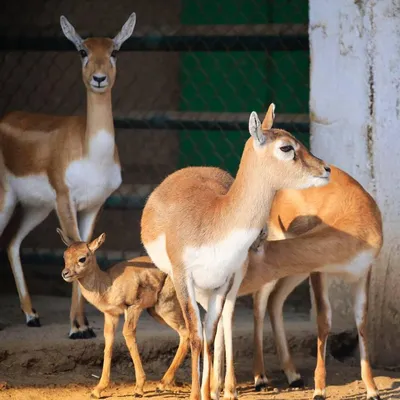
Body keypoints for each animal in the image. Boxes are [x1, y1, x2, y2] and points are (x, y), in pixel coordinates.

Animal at [0, 12, 136, 338]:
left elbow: (84, 246)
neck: (91, 153)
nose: (99, 78)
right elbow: (71, 244)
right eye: (82, 50)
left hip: (36, 208)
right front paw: (76, 328)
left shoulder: (93, 205)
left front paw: (83, 325)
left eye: (114, 50)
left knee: (12, 242)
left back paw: (32, 315)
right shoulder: (65, 200)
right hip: (7, 199)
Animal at [57, 230, 191, 398]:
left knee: (187, 332)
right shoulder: (111, 314)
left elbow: (128, 335)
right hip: (157, 312)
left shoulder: (133, 307)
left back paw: (162, 384)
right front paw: (98, 389)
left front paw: (139, 388)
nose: (65, 273)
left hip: (166, 308)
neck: (108, 285)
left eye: (82, 258)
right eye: (65, 255)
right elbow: (108, 343)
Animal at [141, 105, 332, 400]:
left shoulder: (224, 281)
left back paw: (225, 387)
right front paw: (198, 394)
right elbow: (196, 336)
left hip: (227, 282)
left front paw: (212, 392)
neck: (213, 221)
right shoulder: (184, 278)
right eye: (286, 147)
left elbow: (211, 335)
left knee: (223, 323)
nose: (325, 168)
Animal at [209, 109, 382, 400]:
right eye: (287, 146)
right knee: (260, 304)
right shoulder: (319, 271)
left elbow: (361, 322)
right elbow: (324, 321)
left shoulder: (363, 272)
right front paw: (320, 389)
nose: (326, 168)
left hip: (295, 271)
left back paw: (293, 375)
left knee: (275, 302)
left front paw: (372, 389)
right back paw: (260, 377)